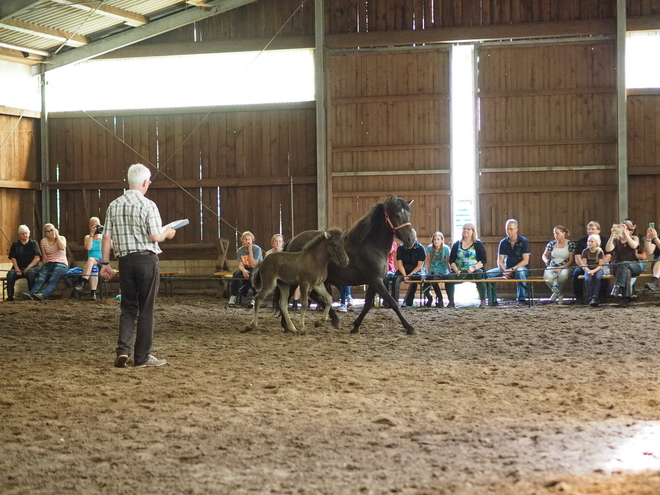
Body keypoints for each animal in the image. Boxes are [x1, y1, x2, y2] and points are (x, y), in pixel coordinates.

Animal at [286, 196, 416, 336]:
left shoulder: (373, 282)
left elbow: (367, 305)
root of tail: (293, 240)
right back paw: (288, 326)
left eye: (409, 215)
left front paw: (355, 326)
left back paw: (333, 319)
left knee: (316, 297)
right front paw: (409, 327)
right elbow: (393, 303)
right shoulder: (376, 281)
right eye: (396, 215)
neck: (371, 245)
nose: (410, 239)